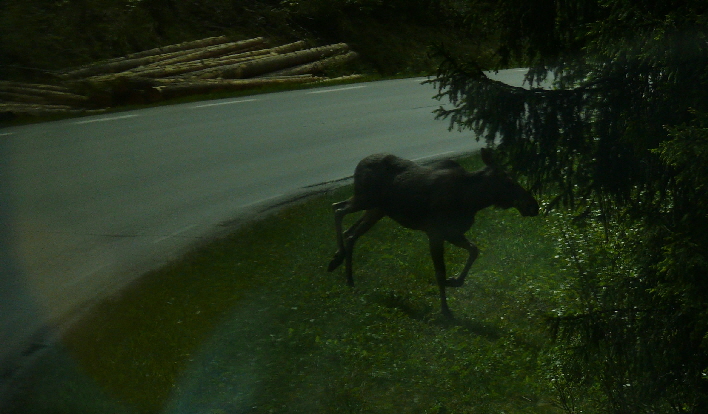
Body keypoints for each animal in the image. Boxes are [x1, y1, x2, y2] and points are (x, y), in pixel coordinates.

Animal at [330, 148, 540, 316]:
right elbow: (439, 272)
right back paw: (336, 258)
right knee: (337, 208)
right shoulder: (436, 233)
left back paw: (347, 276)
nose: (533, 205)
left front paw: (454, 281)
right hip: (365, 198)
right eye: (508, 181)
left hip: (376, 209)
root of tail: (359, 164)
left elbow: (474, 250)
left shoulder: (452, 232)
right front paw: (445, 311)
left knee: (351, 231)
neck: (472, 200)